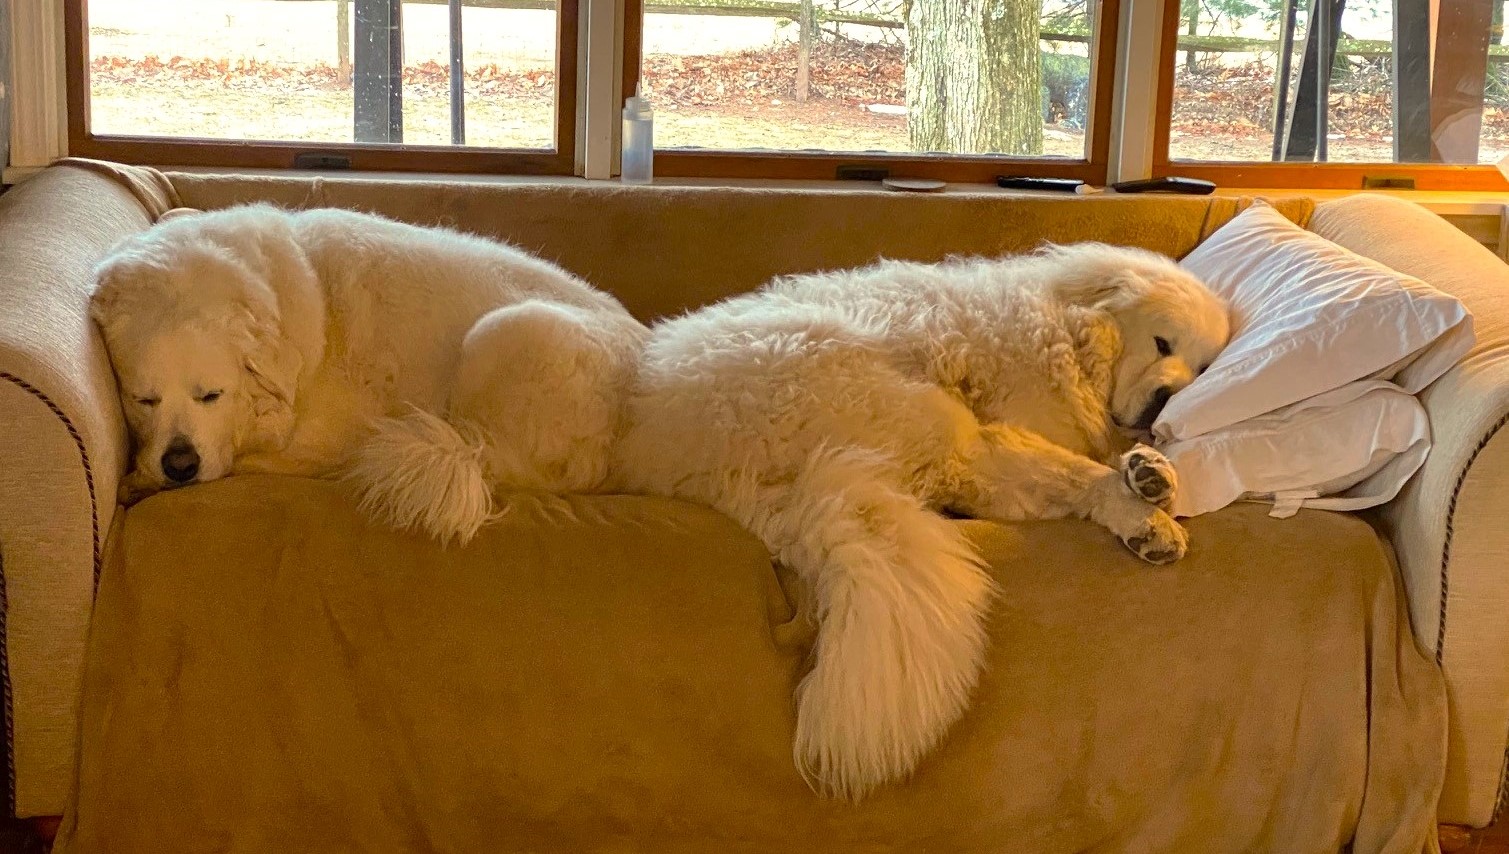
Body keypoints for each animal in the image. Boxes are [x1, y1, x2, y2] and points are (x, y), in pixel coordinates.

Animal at [88, 203, 642, 546]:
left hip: (503, 332)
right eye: (143, 400)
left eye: (212, 396)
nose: (179, 465)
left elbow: (254, 460)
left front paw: (141, 481)